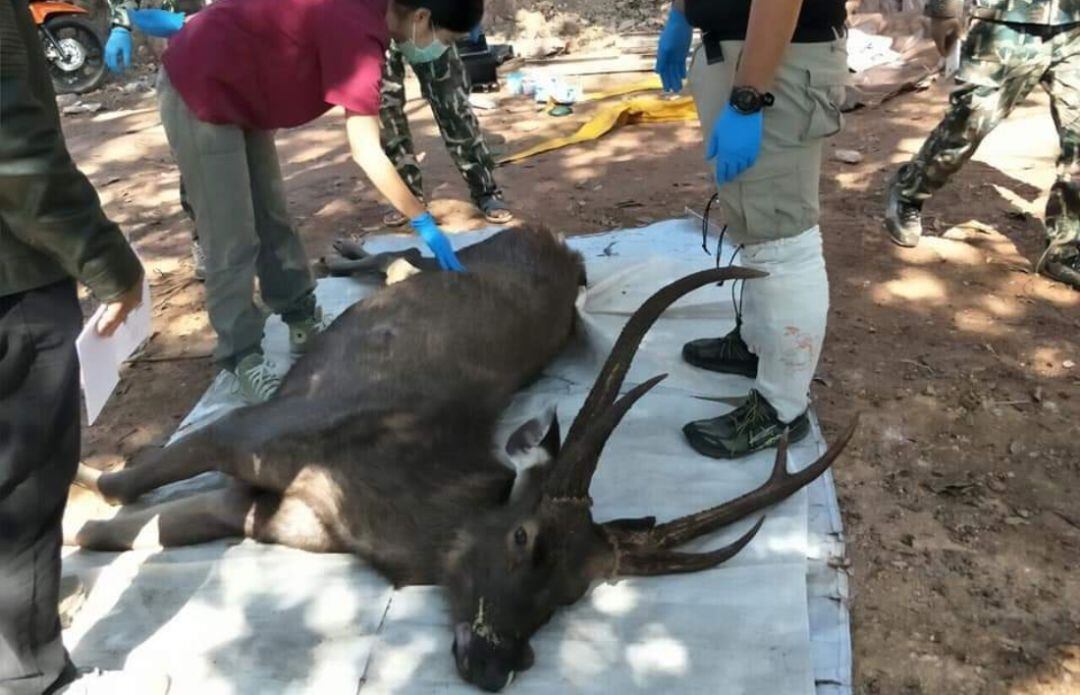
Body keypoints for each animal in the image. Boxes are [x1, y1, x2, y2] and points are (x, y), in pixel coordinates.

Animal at [71, 226, 855, 690]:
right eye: (523, 535)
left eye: (576, 592)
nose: (493, 663)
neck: (384, 507)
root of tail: (559, 245)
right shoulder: (252, 429)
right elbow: (129, 485)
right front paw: (83, 478)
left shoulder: (270, 513)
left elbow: (130, 530)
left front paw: (82, 533)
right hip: (464, 259)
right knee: (410, 254)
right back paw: (339, 250)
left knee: (404, 261)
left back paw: (343, 251)